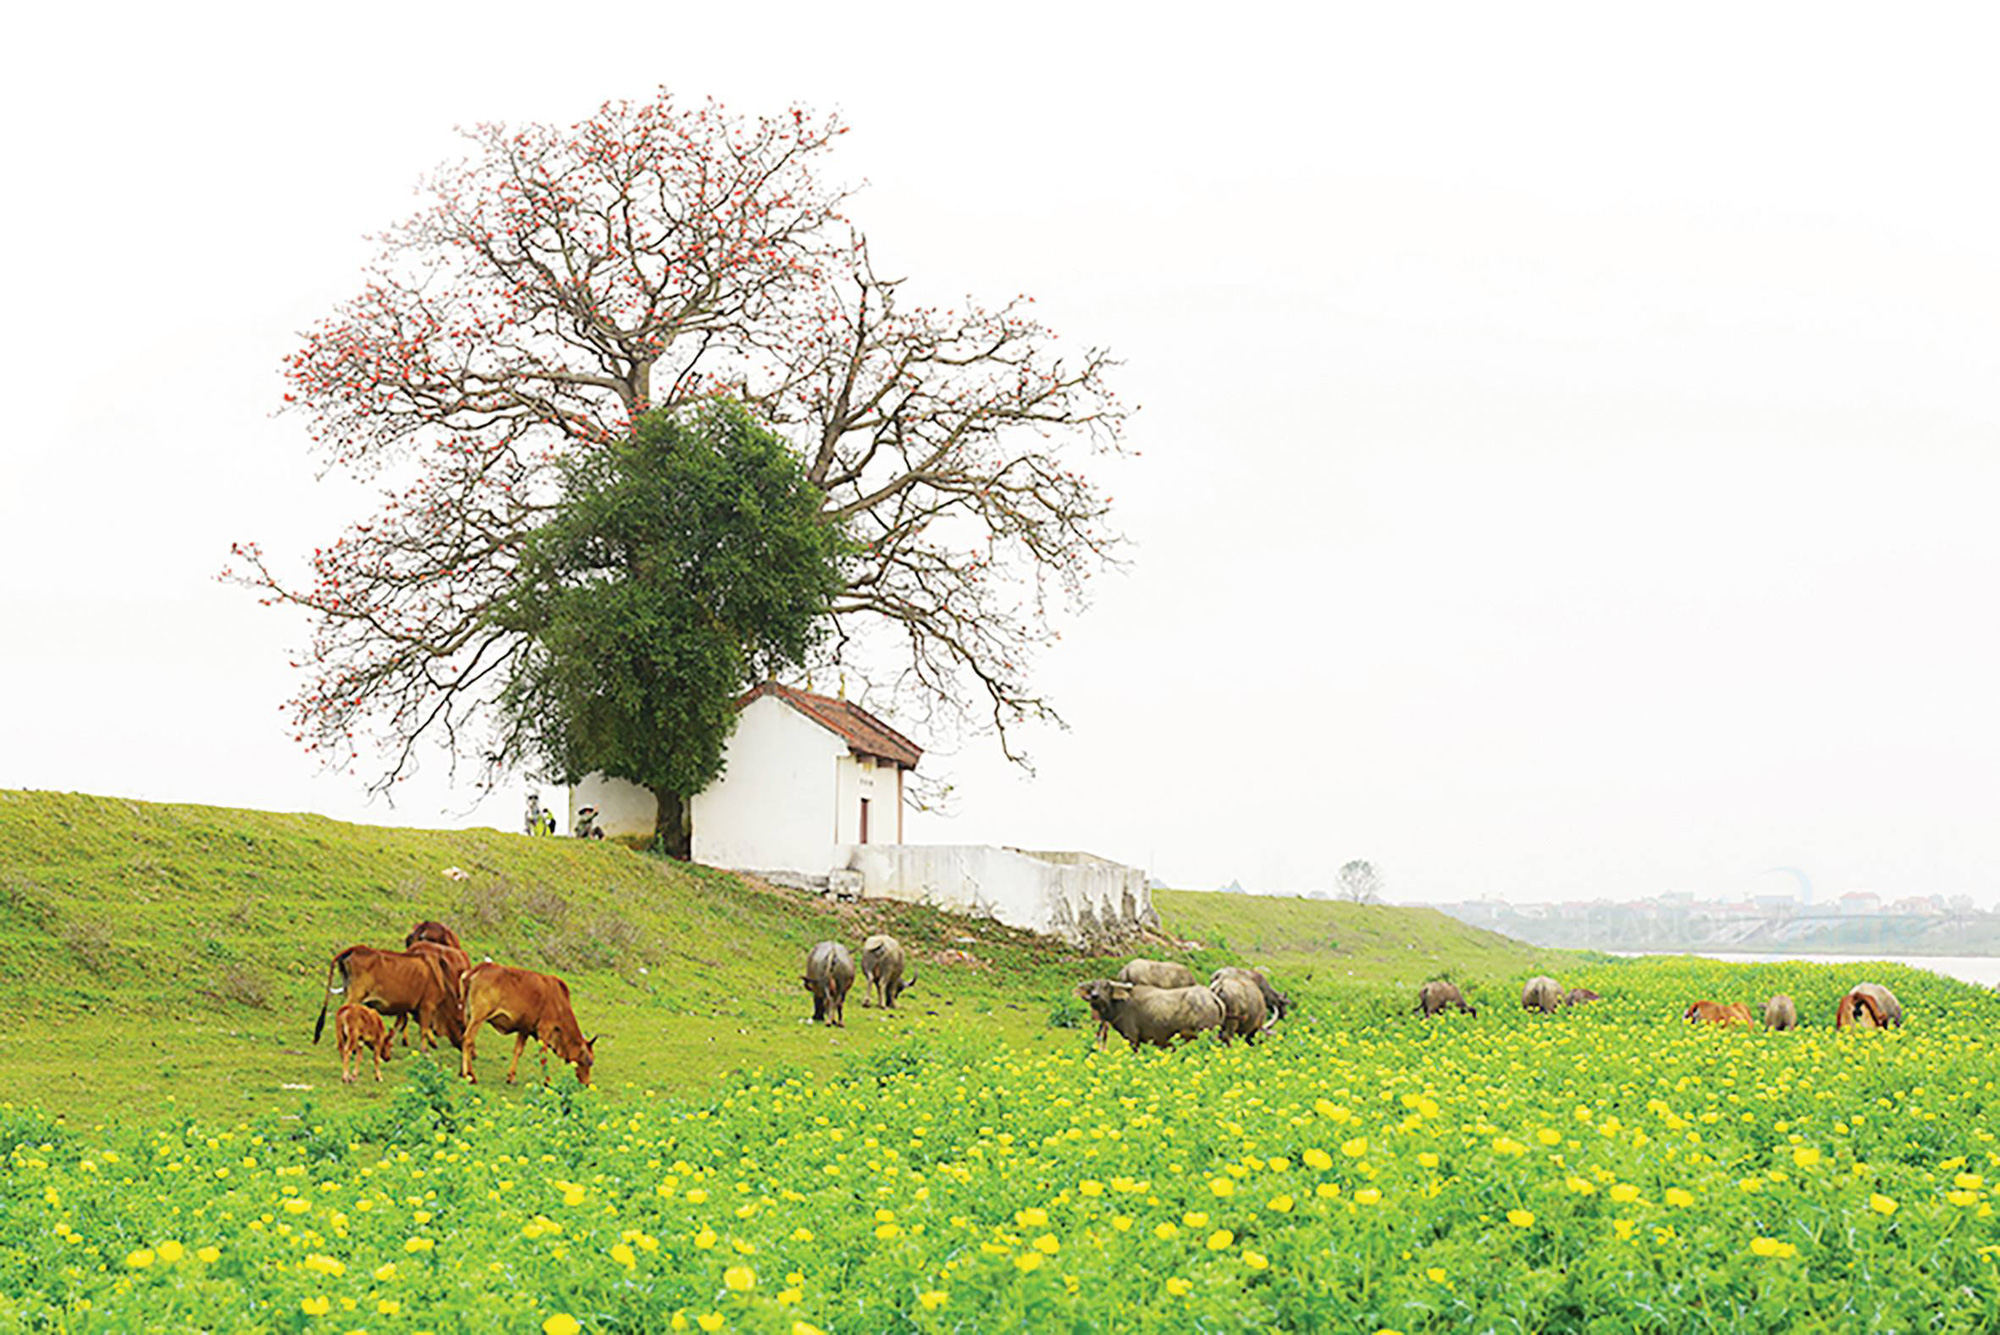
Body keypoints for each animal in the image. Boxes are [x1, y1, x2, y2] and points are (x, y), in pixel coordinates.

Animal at [458, 959, 592, 1087]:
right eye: (588, 1060)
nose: (586, 1084)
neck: (560, 1005)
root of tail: (479, 968)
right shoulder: (545, 1030)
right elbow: (543, 1057)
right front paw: (547, 1081)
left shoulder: (524, 1029)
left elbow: (518, 1051)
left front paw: (511, 1078)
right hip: (478, 1017)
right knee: (468, 1040)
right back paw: (470, 1076)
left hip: (467, 1014)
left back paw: (463, 1073)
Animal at [1072, 979, 1224, 1055]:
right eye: (1092, 987)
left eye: (1106, 986)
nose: (1094, 996)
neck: (1121, 1004)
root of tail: (1212, 997)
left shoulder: (1132, 1037)